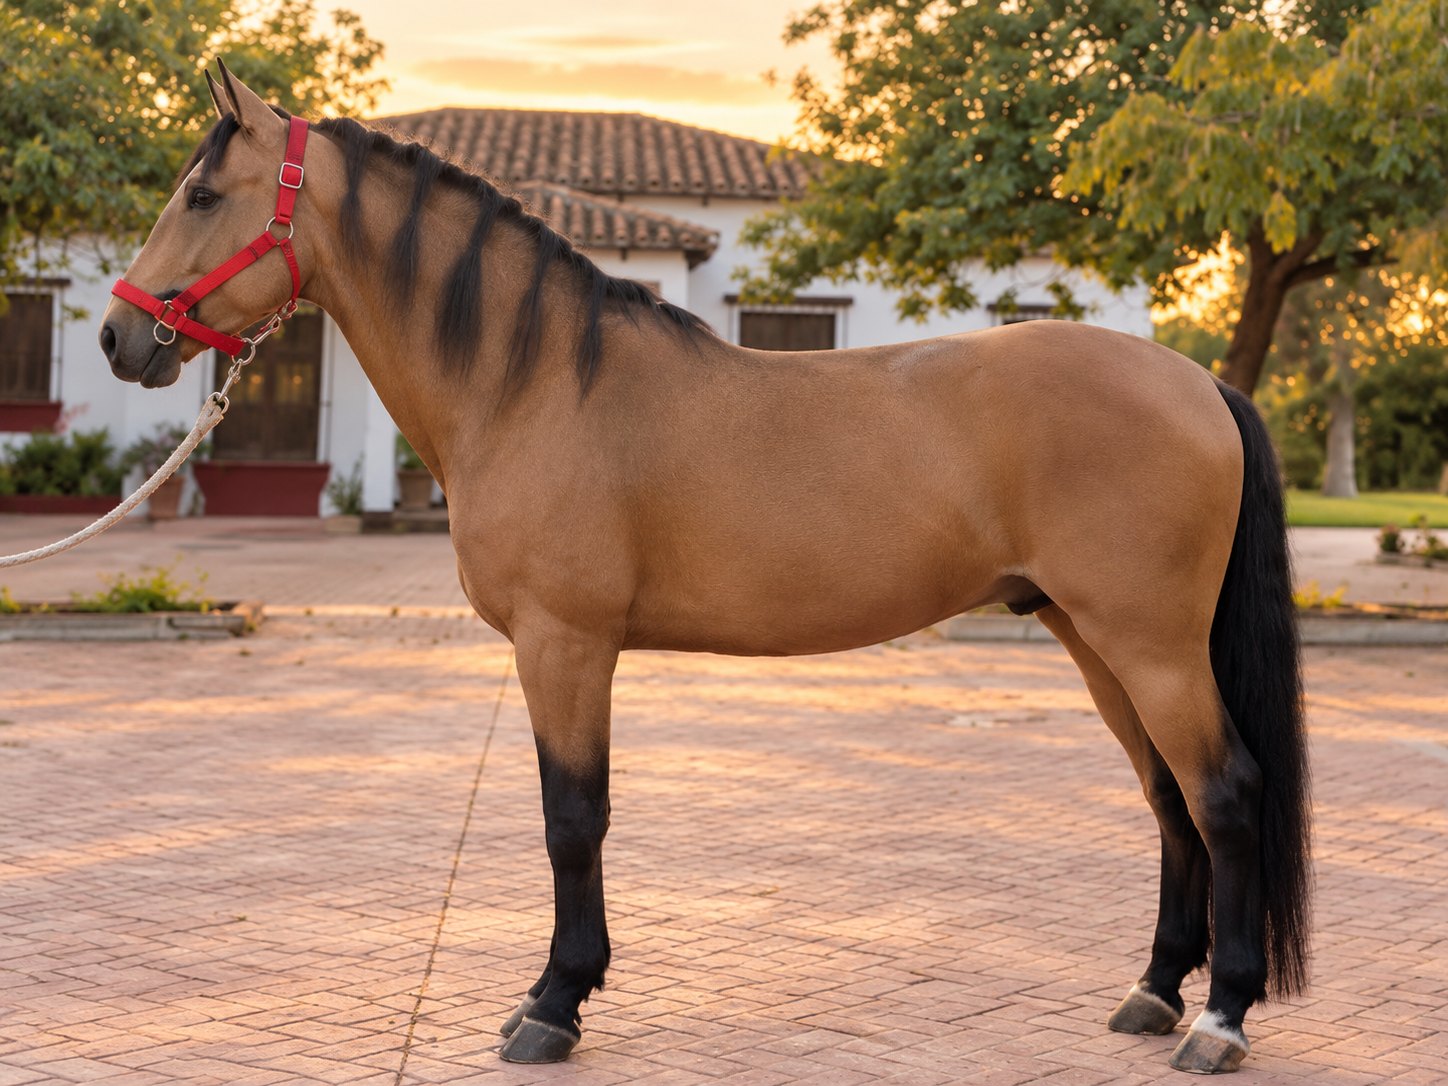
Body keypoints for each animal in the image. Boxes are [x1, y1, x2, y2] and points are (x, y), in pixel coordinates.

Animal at [98, 62, 1311, 1074]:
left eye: (201, 195)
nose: (119, 339)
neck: (536, 384)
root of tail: (1198, 382)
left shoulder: (565, 644)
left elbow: (571, 819)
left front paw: (551, 1004)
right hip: (1092, 636)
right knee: (1168, 798)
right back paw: (1152, 992)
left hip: (1149, 644)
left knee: (1225, 793)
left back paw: (1218, 1019)